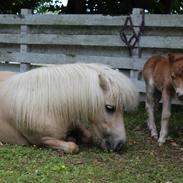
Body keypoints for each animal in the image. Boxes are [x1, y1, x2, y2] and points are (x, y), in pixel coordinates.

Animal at [0, 63, 138, 154]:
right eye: (110, 108)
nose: (120, 144)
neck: (50, 107)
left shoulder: (74, 122)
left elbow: (88, 136)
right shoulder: (41, 140)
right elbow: (72, 147)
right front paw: (71, 139)